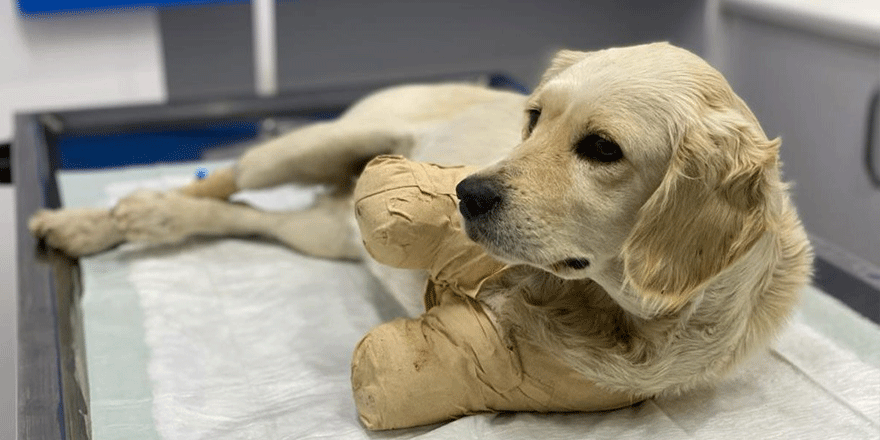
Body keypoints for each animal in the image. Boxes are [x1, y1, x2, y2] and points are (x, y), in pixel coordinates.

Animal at [29, 41, 812, 398]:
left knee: (242, 216)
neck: (617, 313)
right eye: (533, 118)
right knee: (225, 181)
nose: (466, 192)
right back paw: (101, 218)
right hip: (313, 145)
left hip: (322, 232)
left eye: (601, 149)